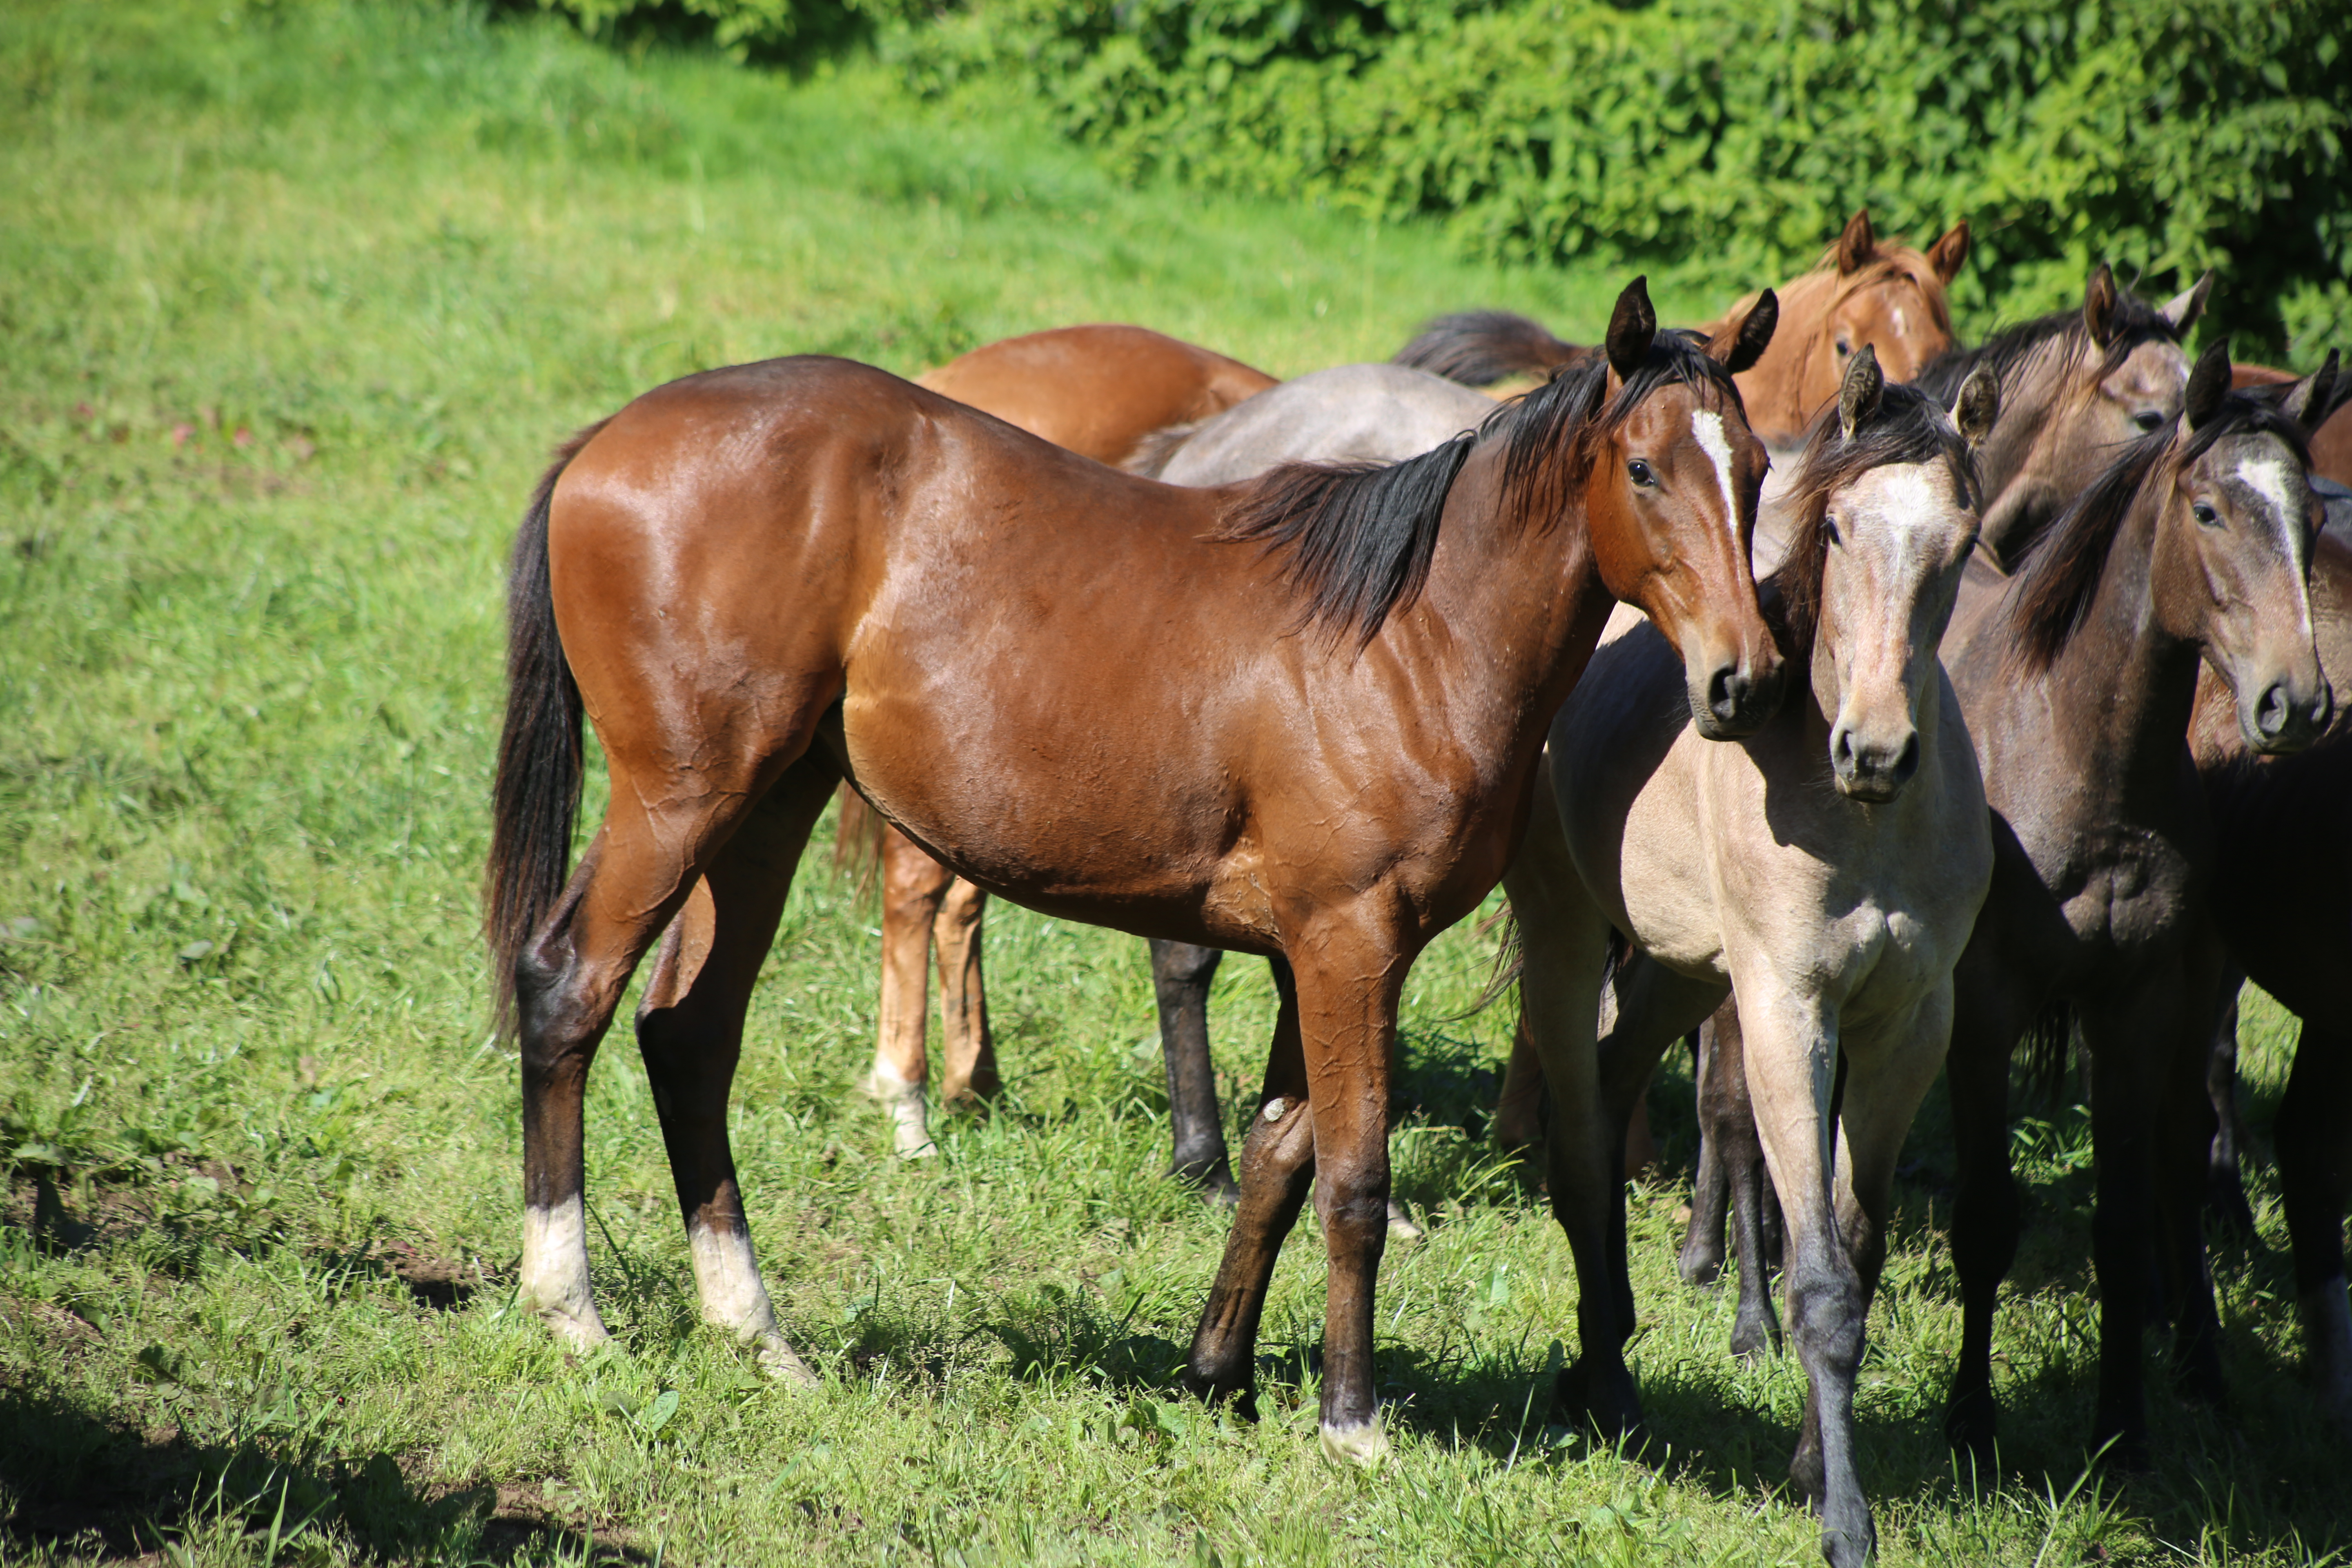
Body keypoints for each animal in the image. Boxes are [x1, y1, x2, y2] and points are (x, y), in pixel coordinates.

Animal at [491, 278, 1778, 1457]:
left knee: (690, 1033)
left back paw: (755, 1331)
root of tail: (607, 440)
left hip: (766, 808)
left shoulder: (1314, 954)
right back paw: (573, 1312)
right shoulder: (1350, 945)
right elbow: (1353, 1182)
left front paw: (1219, 1373)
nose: (1742, 680)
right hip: (680, 803)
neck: (1404, 636)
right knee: (568, 988)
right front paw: (1349, 1419)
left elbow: (1277, 1158)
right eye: (1645, 469)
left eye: (1758, 467)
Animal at [1496, 355, 1994, 1568]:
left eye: (1960, 541)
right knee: (1580, 1141)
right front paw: (1845, 1519)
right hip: (1571, 944)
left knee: (1614, 1089)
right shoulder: (1785, 1011)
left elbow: (1855, 1252)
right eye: (1839, 530)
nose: (1874, 749)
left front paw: (1814, 1462)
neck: (1861, 822)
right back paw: (1605, 1380)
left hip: (1683, 972)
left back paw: (1599, 1351)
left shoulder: (1909, 1026)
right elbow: (1817, 1279)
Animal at [1929, 345, 2333, 1476]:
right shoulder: (1982, 1013)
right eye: (2205, 510)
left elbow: (2119, 1226)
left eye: (2309, 517)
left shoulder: (2136, 1009)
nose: (2295, 701)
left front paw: (2122, 1430)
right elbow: (1985, 1217)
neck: (2074, 754)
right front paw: (1969, 1423)